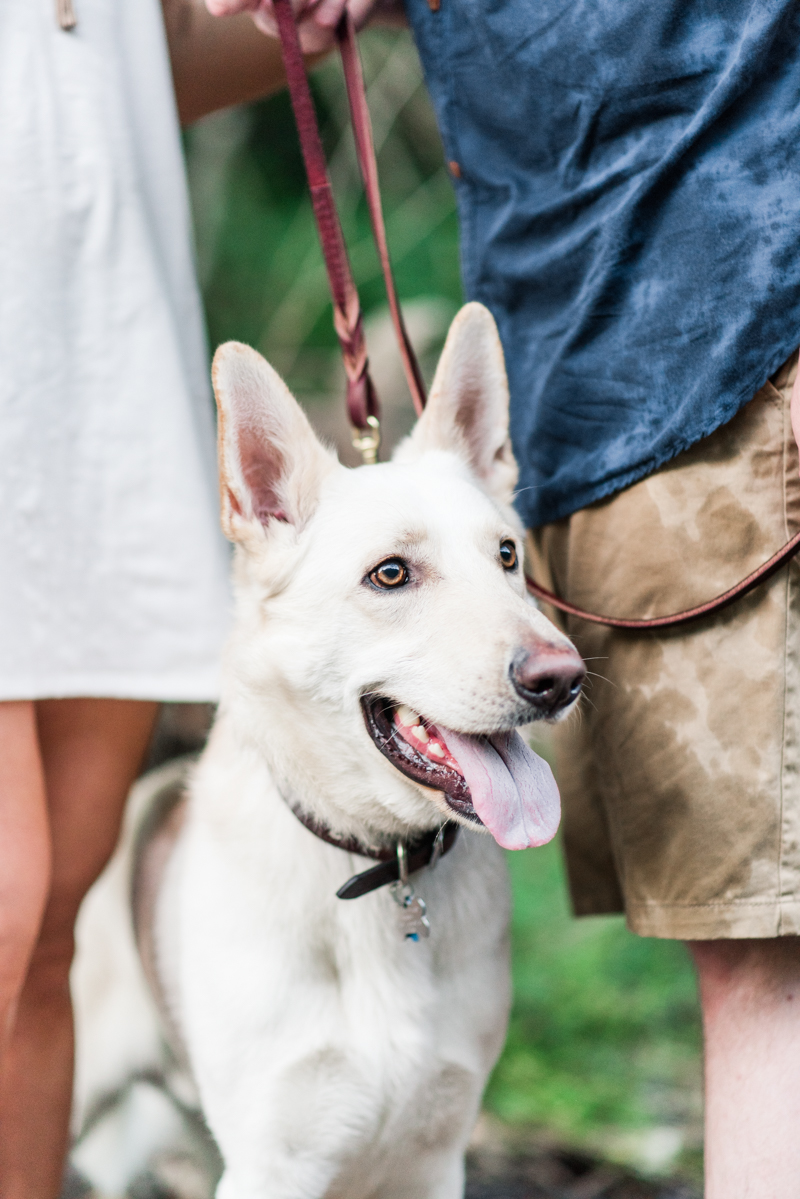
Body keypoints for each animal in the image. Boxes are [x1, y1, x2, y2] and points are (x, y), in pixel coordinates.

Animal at [68, 304, 582, 1199]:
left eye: (508, 556)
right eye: (391, 574)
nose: (563, 678)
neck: (380, 867)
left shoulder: (432, 1159)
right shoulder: (273, 1164)